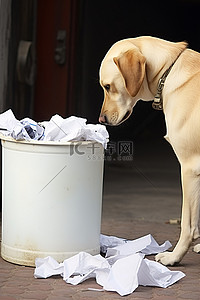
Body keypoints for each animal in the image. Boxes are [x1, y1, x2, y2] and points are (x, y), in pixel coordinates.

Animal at [100, 37, 200, 264]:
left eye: (108, 87)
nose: (101, 120)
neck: (168, 72)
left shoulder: (190, 168)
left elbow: (187, 224)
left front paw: (175, 257)